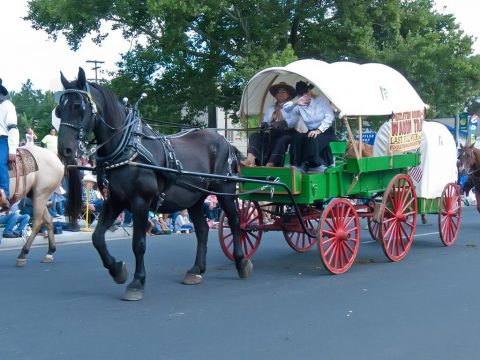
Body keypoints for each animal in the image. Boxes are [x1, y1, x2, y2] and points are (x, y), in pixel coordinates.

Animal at [55, 68, 251, 300]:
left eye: (78, 106)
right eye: (59, 110)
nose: (64, 150)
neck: (127, 148)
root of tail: (224, 141)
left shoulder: (140, 202)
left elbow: (138, 243)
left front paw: (137, 282)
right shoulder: (115, 201)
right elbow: (97, 238)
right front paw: (117, 270)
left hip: (225, 190)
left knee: (236, 222)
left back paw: (241, 262)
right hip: (195, 197)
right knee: (202, 230)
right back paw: (196, 270)